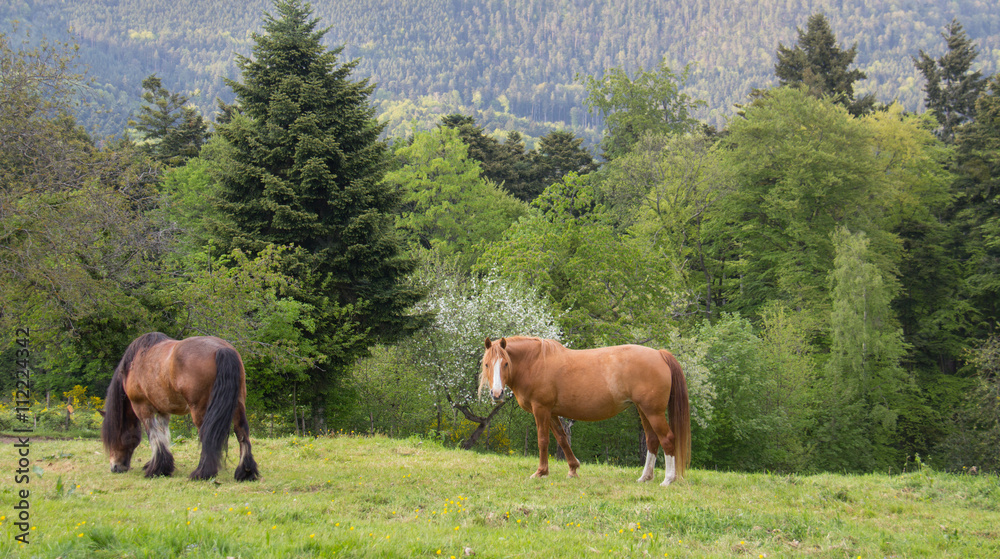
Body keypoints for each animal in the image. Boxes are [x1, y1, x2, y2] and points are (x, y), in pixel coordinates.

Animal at [101, 332, 260, 482]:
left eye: (112, 437)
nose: (115, 467)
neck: (135, 362)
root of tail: (222, 349)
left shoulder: (142, 407)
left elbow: (154, 436)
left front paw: (155, 469)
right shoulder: (163, 410)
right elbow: (163, 434)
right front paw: (163, 466)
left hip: (200, 409)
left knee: (206, 434)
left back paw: (202, 473)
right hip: (238, 404)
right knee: (241, 432)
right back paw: (245, 472)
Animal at [481, 336, 690, 486]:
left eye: (505, 363)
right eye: (487, 364)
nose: (497, 393)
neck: (535, 362)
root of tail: (660, 354)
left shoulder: (541, 409)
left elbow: (543, 441)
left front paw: (541, 472)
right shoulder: (552, 412)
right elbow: (562, 439)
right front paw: (573, 469)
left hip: (653, 412)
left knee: (667, 439)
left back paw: (668, 479)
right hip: (643, 410)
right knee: (652, 440)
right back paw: (645, 477)